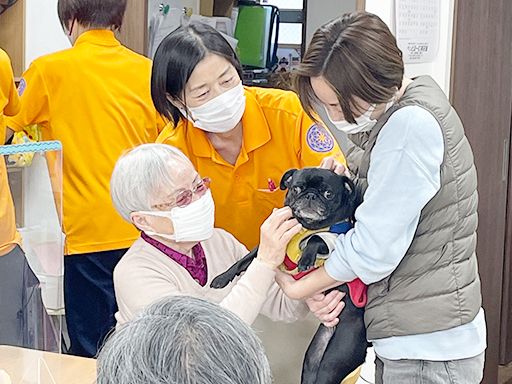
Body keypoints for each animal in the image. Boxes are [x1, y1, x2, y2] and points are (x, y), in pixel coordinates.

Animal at [211, 167, 368, 384]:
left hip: (335, 359)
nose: (310, 195)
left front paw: (305, 259)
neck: (305, 226)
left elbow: (316, 239)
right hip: (313, 359)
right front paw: (222, 277)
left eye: (328, 194)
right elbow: (245, 259)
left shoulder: (335, 239)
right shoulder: (270, 247)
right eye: (296, 188)